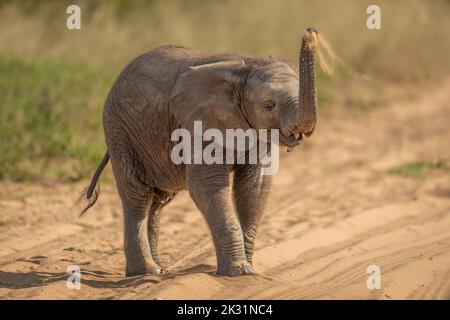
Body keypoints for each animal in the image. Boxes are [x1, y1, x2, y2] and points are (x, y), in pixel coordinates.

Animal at [83, 28, 320, 276]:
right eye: (269, 105)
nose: (310, 32)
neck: (246, 68)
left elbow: (253, 187)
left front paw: (249, 269)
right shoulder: (199, 124)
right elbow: (207, 186)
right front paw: (240, 271)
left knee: (157, 200)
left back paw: (158, 268)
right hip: (119, 129)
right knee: (137, 194)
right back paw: (146, 271)